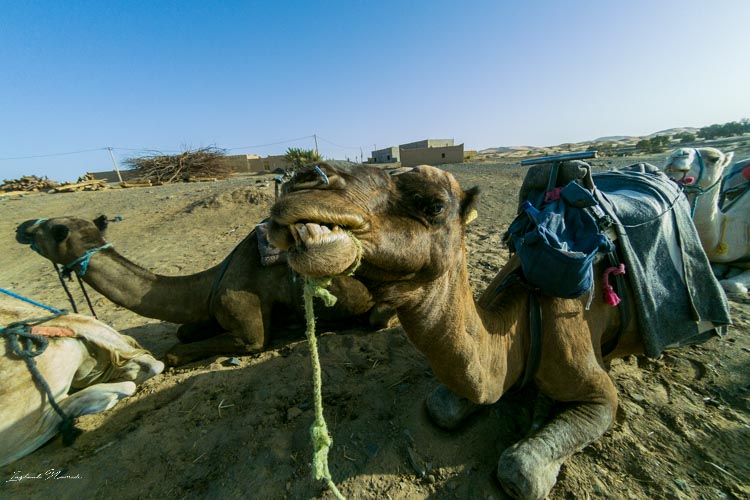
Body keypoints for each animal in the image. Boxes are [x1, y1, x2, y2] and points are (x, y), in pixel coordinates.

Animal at [16, 216, 393, 366]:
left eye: (50, 229)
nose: (22, 226)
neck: (206, 284)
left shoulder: (246, 327)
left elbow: (173, 352)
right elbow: (183, 331)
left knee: (378, 315)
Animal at [265, 162, 727, 499]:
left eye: (433, 205)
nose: (304, 181)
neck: (520, 327)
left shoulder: (598, 390)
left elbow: (519, 469)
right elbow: (442, 406)